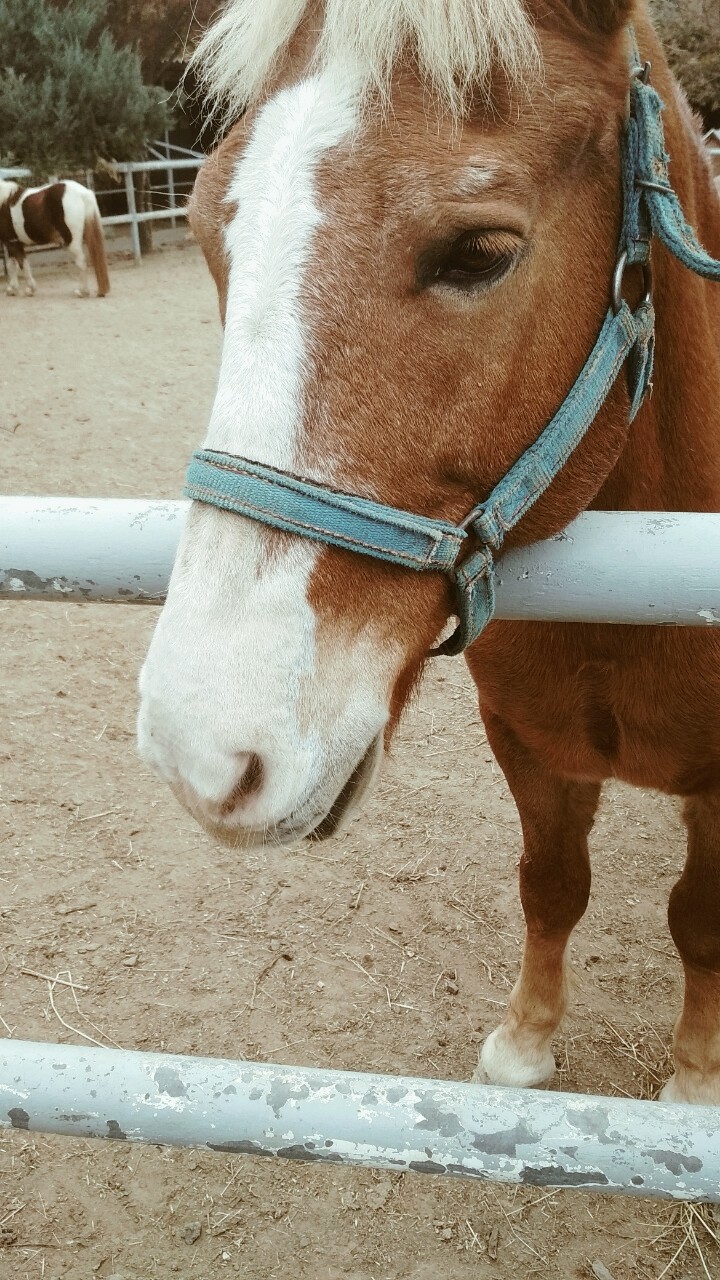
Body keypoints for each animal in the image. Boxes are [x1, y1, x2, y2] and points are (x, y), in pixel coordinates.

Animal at [137, 0, 720, 1106]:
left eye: (479, 251)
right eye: (203, 232)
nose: (203, 758)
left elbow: (697, 921)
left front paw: (697, 1083)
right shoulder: (526, 742)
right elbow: (551, 883)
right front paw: (524, 1046)